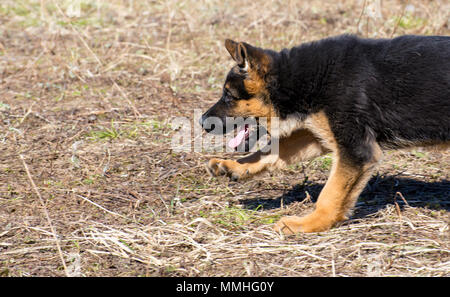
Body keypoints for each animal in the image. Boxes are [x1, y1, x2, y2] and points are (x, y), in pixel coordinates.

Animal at [200, 34, 450, 234]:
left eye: (229, 96)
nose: (202, 122)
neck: (299, 79)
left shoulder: (356, 150)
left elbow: (330, 194)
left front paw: (308, 224)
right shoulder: (319, 134)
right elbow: (271, 151)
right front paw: (233, 166)